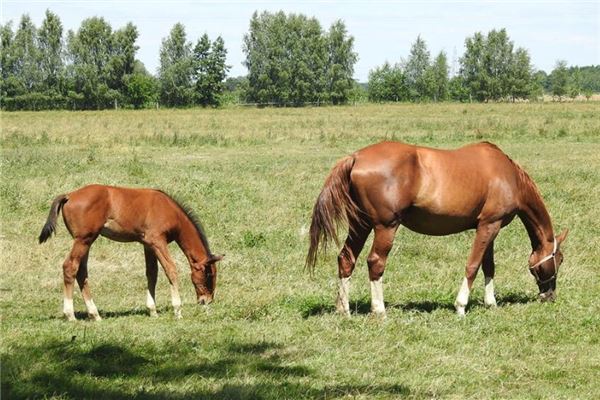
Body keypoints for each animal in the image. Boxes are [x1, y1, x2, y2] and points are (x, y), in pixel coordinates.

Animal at [38, 185, 224, 322]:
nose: (206, 301)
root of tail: (69, 195)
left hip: (86, 241)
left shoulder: (148, 244)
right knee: (70, 267)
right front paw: (178, 310)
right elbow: (171, 269)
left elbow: (152, 274)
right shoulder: (157, 241)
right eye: (209, 275)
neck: (170, 211)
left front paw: (153, 311)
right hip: (83, 239)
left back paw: (95, 314)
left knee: (81, 272)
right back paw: (70, 315)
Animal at [310, 142, 568, 318]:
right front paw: (461, 306)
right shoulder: (488, 226)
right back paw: (379, 310)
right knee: (375, 262)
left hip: (360, 224)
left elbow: (488, 266)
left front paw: (491, 303)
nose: (550, 295)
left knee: (346, 258)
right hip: (385, 227)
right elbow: (473, 265)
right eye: (559, 259)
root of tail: (356, 157)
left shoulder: (489, 227)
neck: (508, 175)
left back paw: (343, 310)